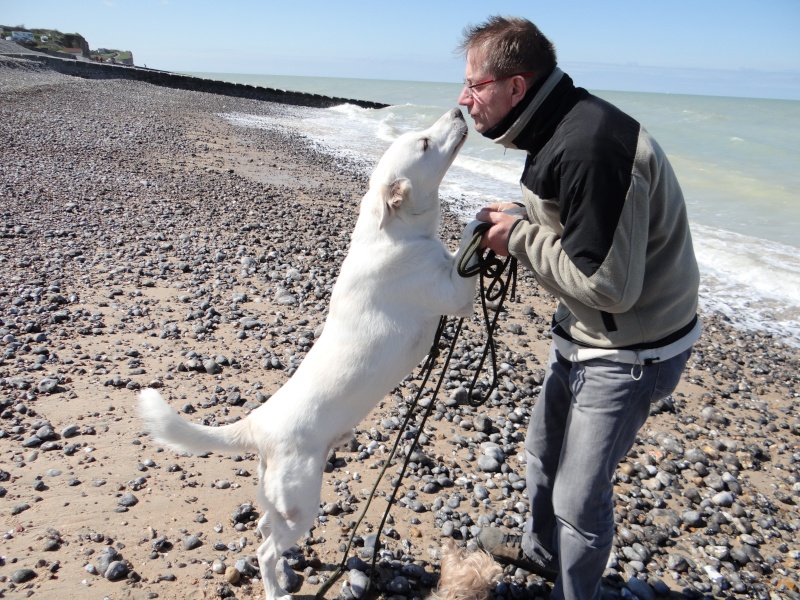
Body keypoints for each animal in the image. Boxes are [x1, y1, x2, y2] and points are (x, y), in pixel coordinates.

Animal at [138, 108, 478, 600]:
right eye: (425, 143)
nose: (458, 109)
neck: (393, 232)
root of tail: (256, 425)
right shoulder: (454, 293)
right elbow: (467, 246)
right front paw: (490, 218)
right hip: (302, 503)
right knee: (265, 548)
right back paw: (277, 589)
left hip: (280, 502)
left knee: (264, 529)